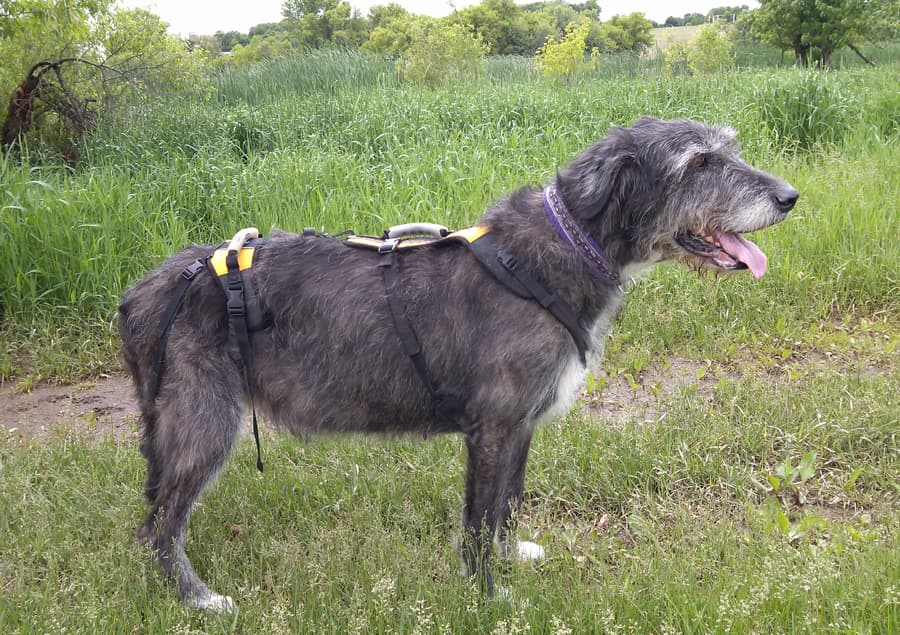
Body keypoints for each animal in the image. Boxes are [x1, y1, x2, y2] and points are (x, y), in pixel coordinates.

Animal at [118, 115, 796, 612]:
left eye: (729, 149)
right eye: (699, 163)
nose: (790, 197)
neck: (567, 247)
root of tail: (147, 289)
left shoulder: (520, 427)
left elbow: (506, 507)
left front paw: (510, 560)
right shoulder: (490, 428)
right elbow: (476, 521)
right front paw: (489, 598)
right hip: (204, 421)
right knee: (158, 528)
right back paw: (197, 599)